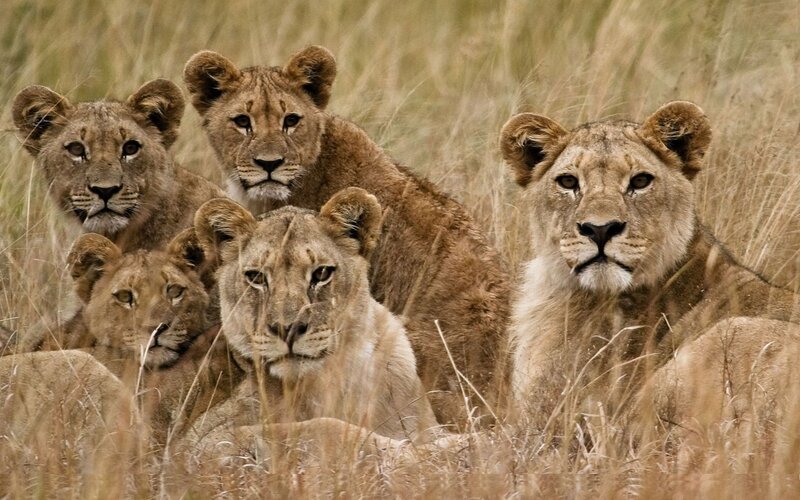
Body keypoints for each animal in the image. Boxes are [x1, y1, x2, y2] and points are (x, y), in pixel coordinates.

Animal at [184, 189, 438, 445]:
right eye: (256, 277)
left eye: (322, 273)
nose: (287, 329)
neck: (332, 380)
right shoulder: (202, 440)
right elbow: (323, 427)